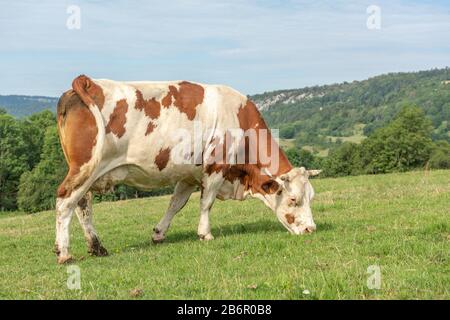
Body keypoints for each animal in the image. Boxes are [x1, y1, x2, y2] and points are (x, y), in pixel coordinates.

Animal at [54, 74, 322, 262]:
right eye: (293, 199)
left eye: (311, 197)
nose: (311, 229)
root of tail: (88, 82)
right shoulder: (215, 167)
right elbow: (206, 203)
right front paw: (205, 233)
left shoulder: (188, 175)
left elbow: (175, 204)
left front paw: (159, 233)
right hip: (86, 167)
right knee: (65, 201)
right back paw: (64, 252)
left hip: (87, 172)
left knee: (82, 205)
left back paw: (97, 247)